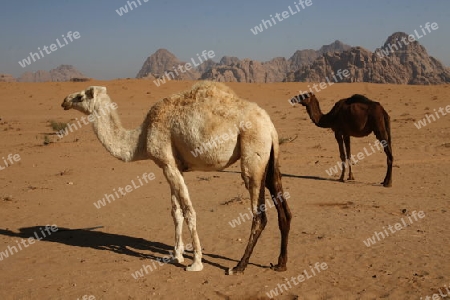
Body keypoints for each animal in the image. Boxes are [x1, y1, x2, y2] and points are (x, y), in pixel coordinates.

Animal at [60, 80, 292, 274]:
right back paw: (280, 264)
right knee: (285, 211)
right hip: (271, 159)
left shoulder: (167, 163)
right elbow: (176, 211)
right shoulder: (171, 167)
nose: (64, 101)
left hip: (253, 154)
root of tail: (269, 126)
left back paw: (239, 266)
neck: (141, 138)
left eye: (80, 96)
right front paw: (177, 255)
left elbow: (189, 211)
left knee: (260, 215)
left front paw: (196, 262)